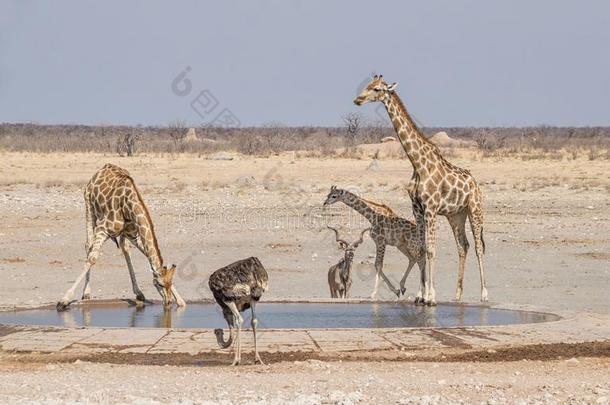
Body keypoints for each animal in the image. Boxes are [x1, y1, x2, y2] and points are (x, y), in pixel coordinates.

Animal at [56, 163, 185, 308]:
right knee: (88, 245)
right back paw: (86, 293)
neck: (129, 207)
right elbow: (92, 258)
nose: (168, 302)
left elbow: (146, 254)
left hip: (123, 233)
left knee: (124, 248)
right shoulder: (102, 229)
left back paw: (138, 292)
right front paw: (64, 299)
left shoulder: (133, 235)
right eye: (160, 284)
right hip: (89, 206)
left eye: (171, 283)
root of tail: (102, 168)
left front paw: (180, 301)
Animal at [352, 75, 484, 304]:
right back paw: (457, 294)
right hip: (456, 215)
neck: (417, 163)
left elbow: (430, 250)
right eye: (367, 85)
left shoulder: (431, 209)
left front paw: (431, 297)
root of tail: (475, 184)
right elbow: (422, 249)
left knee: (478, 247)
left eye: (376, 89)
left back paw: (484, 294)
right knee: (463, 246)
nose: (358, 100)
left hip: (475, 210)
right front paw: (420, 295)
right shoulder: (418, 209)